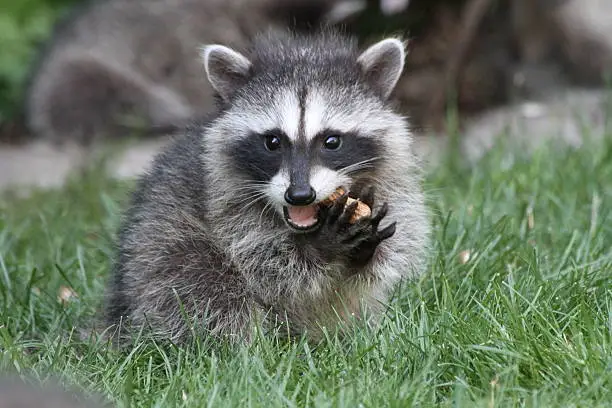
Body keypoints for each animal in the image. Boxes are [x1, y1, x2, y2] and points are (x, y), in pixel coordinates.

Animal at [104, 27, 430, 344]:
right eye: (272, 142)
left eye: (332, 141)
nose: (300, 195)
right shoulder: (223, 204)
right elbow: (266, 265)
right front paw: (321, 247)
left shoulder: (390, 184)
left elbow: (391, 251)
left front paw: (365, 247)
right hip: (158, 252)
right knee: (202, 287)